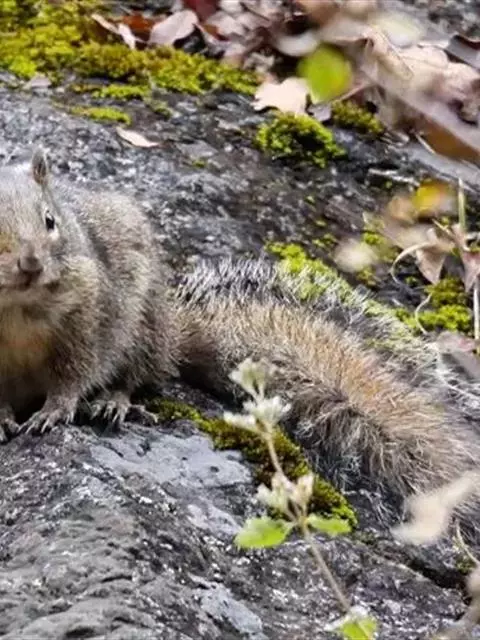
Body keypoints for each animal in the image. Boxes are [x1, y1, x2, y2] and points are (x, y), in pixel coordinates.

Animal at [1, 149, 480, 530]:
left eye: (50, 220)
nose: (30, 263)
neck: (18, 307)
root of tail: (174, 328)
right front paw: (4, 417)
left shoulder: (91, 313)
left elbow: (76, 371)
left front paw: (56, 409)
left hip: (145, 329)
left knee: (139, 374)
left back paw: (114, 402)